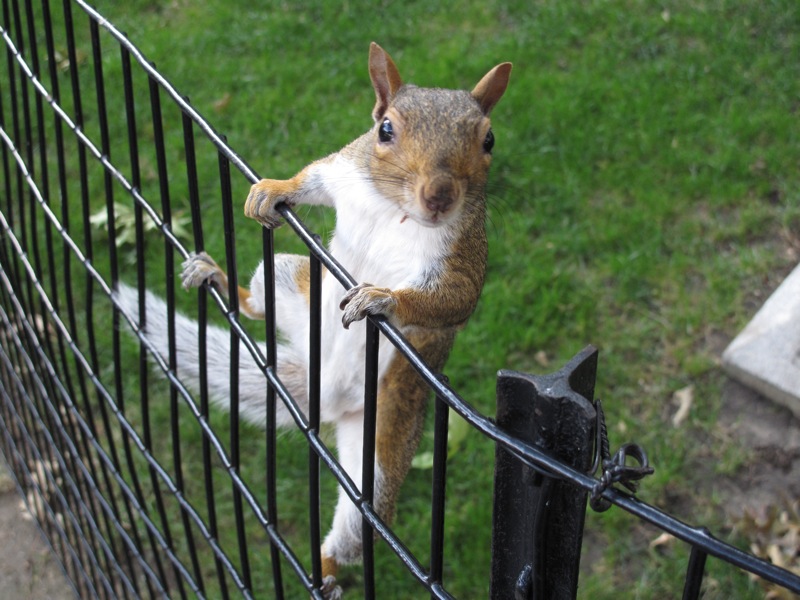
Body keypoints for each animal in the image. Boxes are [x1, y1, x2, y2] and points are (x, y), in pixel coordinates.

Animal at [119, 43, 512, 600]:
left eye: (488, 140)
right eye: (384, 130)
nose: (439, 196)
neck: (397, 211)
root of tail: (323, 396)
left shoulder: (462, 257)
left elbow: (450, 300)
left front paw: (382, 298)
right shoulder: (345, 172)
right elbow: (315, 177)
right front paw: (272, 189)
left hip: (381, 442)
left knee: (353, 533)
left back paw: (323, 572)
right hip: (284, 277)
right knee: (257, 302)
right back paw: (217, 280)